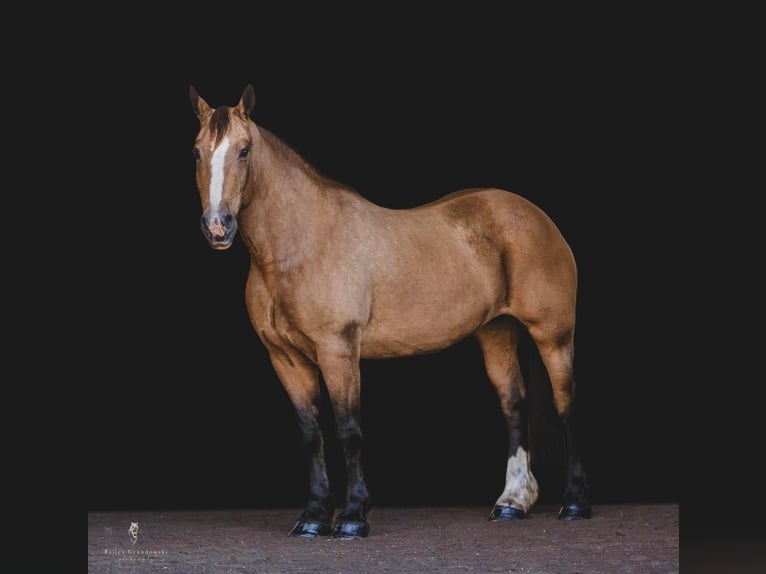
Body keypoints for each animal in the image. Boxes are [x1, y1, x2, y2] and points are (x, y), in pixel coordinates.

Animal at [189, 84, 592, 540]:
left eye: (243, 150)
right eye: (197, 151)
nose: (217, 227)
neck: (303, 243)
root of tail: (537, 217)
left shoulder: (338, 350)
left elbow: (348, 430)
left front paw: (352, 517)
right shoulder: (285, 358)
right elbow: (311, 434)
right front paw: (313, 517)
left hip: (553, 334)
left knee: (566, 402)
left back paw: (574, 504)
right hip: (497, 333)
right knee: (514, 405)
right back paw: (512, 502)